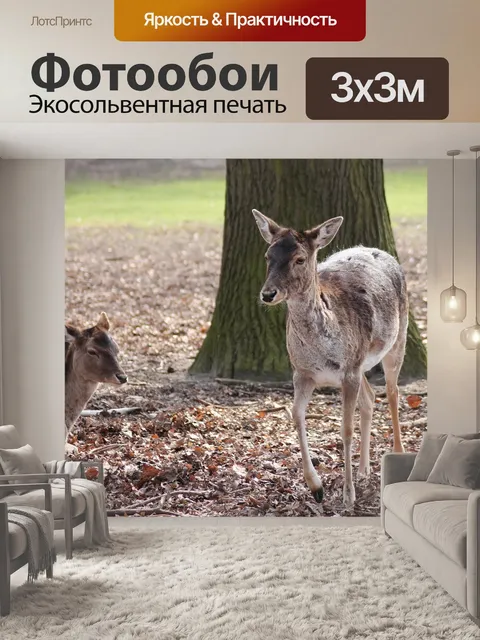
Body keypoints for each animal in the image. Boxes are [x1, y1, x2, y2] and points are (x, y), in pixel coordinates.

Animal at [252, 210, 408, 507]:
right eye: (267, 256)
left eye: (300, 259)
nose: (267, 294)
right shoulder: (302, 372)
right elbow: (296, 415)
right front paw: (317, 486)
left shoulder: (348, 371)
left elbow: (345, 428)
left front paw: (348, 495)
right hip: (361, 363)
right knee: (371, 397)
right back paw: (364, 470)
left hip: (397, 339)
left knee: (393, 392)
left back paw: (397, 453)